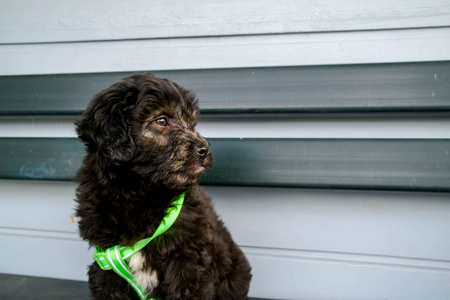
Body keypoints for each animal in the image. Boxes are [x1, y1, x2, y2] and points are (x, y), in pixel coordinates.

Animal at [74, 73, 250, 300]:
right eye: (161, 121)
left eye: (191, 122)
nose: (204, 149)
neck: (138, 192)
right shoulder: (107, 262)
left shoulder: (188, 261)